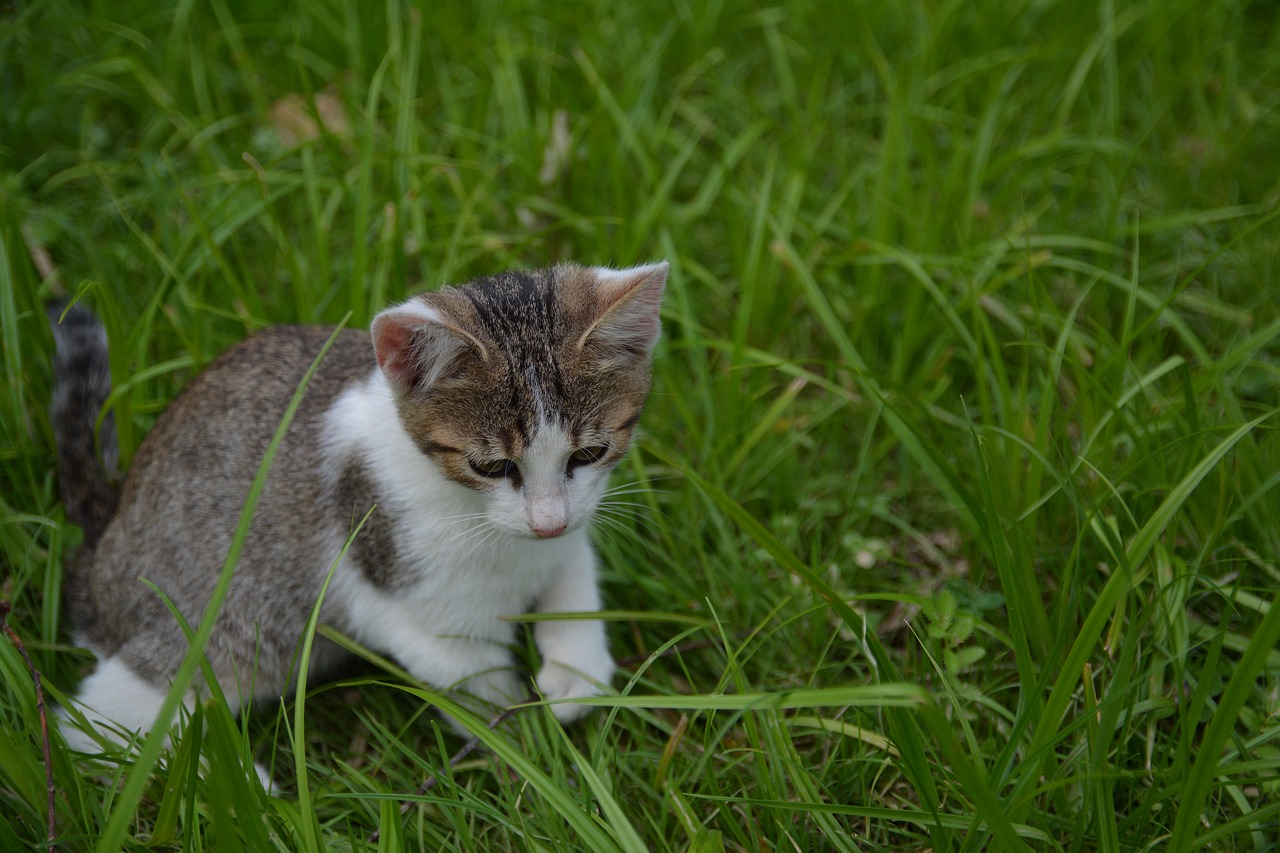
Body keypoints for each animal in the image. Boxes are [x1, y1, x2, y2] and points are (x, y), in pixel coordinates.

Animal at [48, 258, 665, 778]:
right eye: (491, 466)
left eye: (589, 453)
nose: (546, 522)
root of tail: (100, 557)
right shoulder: (389, 589)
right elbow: (466, 674)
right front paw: (526, 752)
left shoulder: (575, 522)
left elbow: (574, 576)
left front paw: (576, 674)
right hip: (218, 621)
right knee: (98, 721)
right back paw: (237, 788)